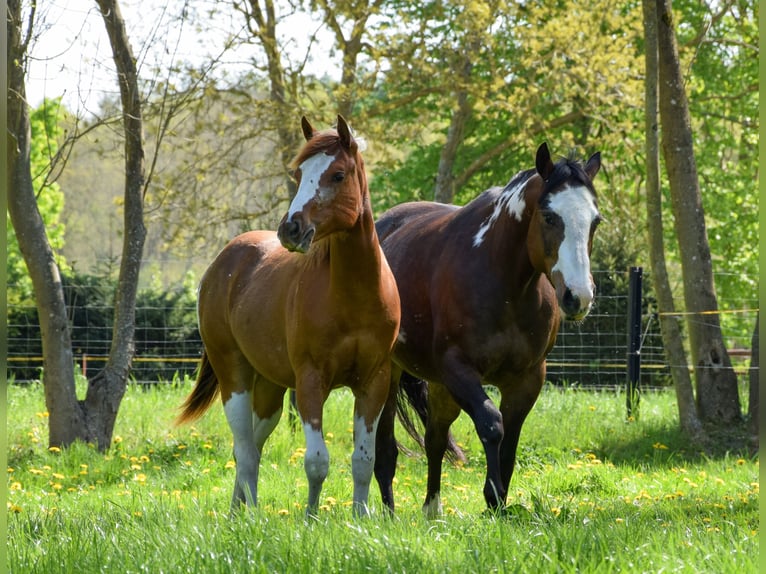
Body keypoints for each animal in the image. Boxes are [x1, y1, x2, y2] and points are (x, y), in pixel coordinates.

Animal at [176, 115, 401, 517]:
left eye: (338, 174)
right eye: (298, 173)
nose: (291, 229)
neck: (354, 298)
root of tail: (223, 262)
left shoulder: (374, 382)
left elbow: (364, 460)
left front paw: (360, 518)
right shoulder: (311, 382)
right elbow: (317, 461)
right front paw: (311, 519)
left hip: (270, 389)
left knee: (252, 444)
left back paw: (237, 511)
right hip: (234, 377)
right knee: (245, 451)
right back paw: (250, 516)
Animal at [374, 142, 601, 516]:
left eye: (595, 221)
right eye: (549, 216)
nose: (578, 296)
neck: (505, 285)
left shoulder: (527, 379)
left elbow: (510, 440)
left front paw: (500, 504)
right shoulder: (458, 369)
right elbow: (492, 425)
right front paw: (493, 497)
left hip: (440, 388)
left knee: (435, 439)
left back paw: (432, 508)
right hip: (389, 374)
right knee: (385, 451)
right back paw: (388, 515)